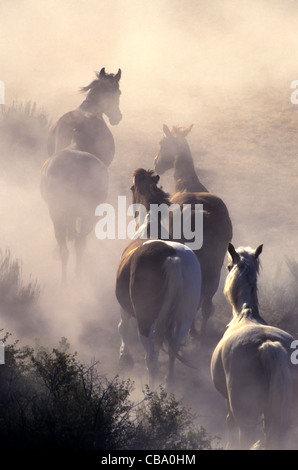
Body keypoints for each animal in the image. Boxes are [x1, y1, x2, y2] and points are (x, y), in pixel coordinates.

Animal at [115, 169, 201, 386]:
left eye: (131, 188)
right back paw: (168, 382)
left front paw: (124, 355)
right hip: (184, 318)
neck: (149, 226)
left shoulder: (125, 307)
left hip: (145, 322)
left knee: (151, 358)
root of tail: (171, 257)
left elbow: (122, 327)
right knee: (173, 348)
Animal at [211, 244, 296, 450]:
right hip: (287, 418)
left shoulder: (229, 402)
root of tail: (268, 344)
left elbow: (229, 422)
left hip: (247, 418)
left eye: (229, 266)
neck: (246, 313)